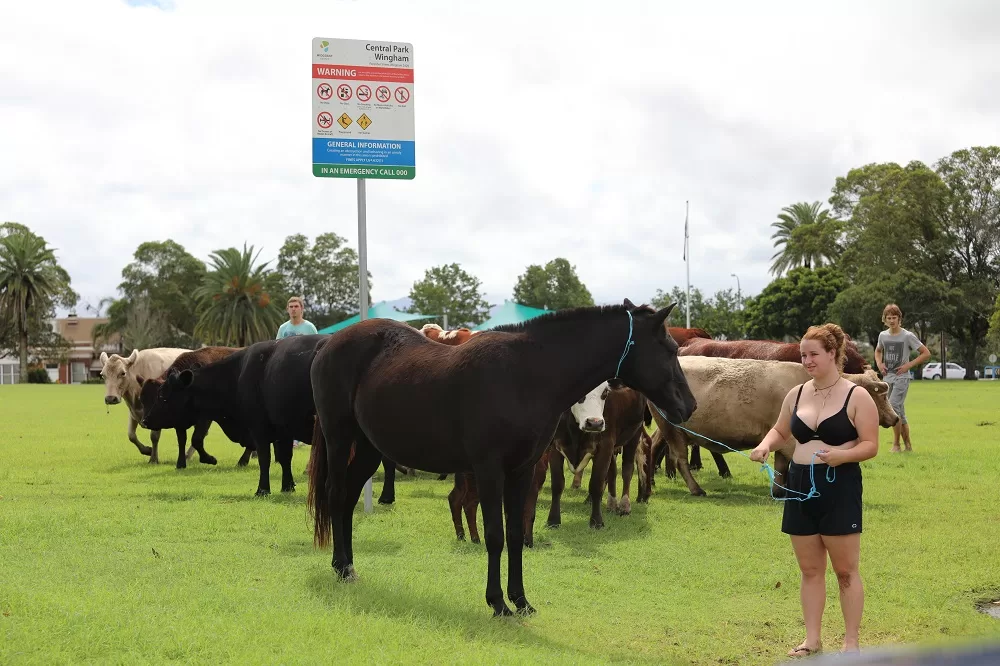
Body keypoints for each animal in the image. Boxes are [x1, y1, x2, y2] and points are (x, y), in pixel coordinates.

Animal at [306, 298, 696, 616]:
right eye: (669, 347)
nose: (689, 406)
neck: (524, 375)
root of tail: (329, 343)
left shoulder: (521, 471)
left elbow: (515, 533)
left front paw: (521, 600)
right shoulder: (489, 470)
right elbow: (494, 534)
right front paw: (497, 603)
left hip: (368, 448)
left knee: (348, 499)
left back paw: (349, 566)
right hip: (340, 439)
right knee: (336, 496)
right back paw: (341, 567)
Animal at [648, 356, 900, 496]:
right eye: (879, 396)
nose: (896, 418)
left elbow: (781, 466)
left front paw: (779, 491)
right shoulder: (790, 440)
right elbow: (788, 466)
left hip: (667, 428)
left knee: (654, 447)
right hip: (672, 430)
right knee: (679, 459)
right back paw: (695, 489)